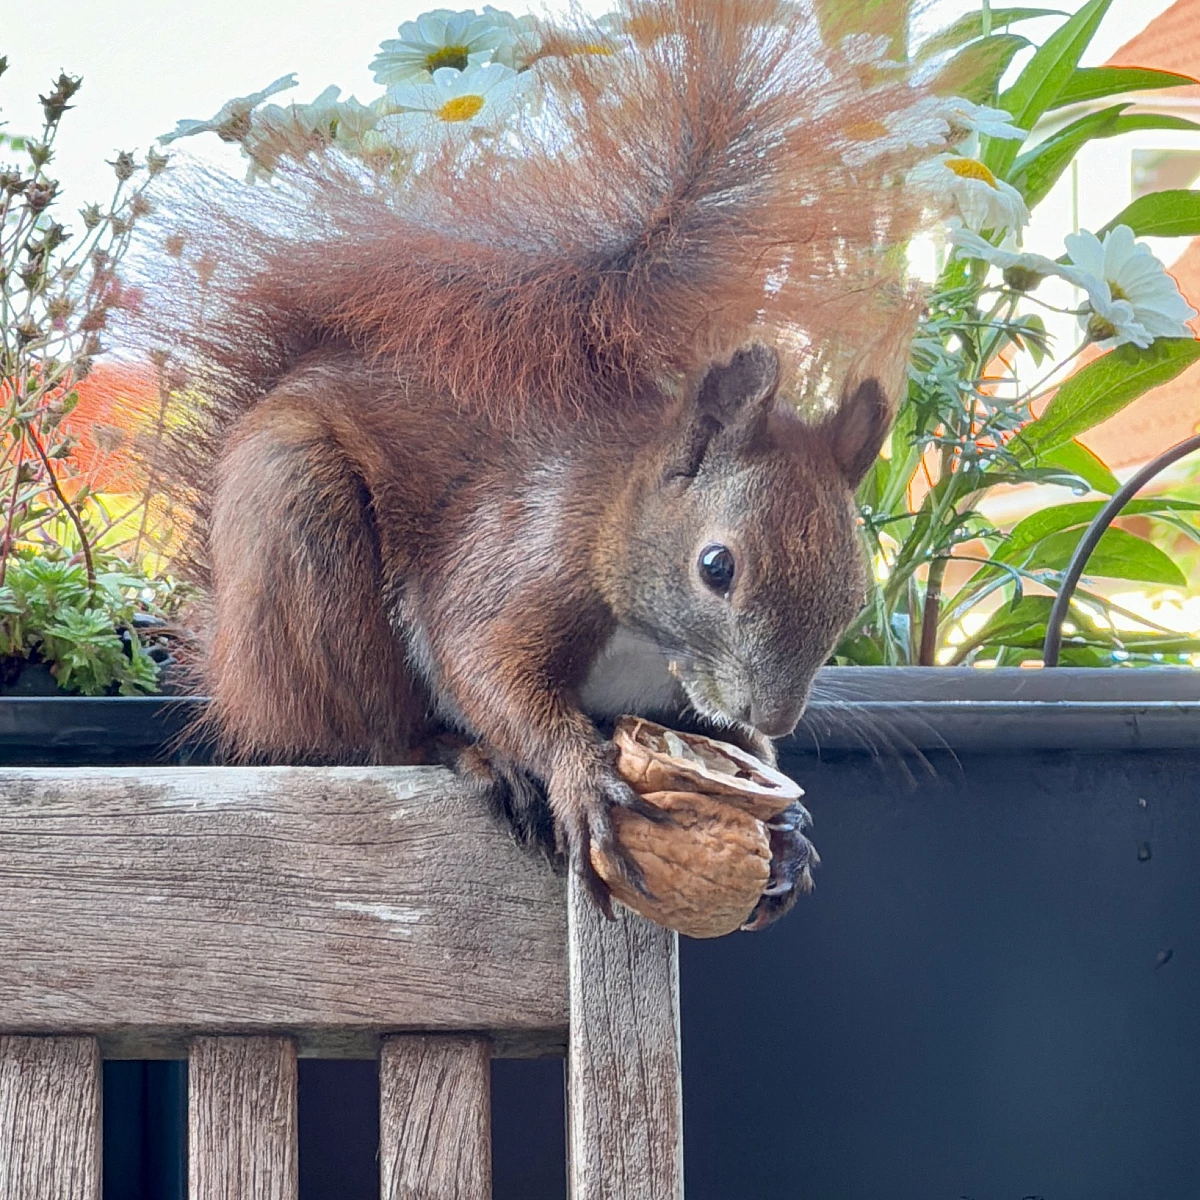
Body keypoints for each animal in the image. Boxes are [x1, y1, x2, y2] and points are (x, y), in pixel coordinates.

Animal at [138, 0, 936, 926]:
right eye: (716, 566)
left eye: (855, 594)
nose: (771, 711)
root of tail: (233, 665)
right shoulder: (521, 559)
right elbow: (487, 666)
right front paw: (578, 776)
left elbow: (728, 749)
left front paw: (791, 827)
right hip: (303, 537)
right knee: (373, 732)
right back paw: (470, 756)